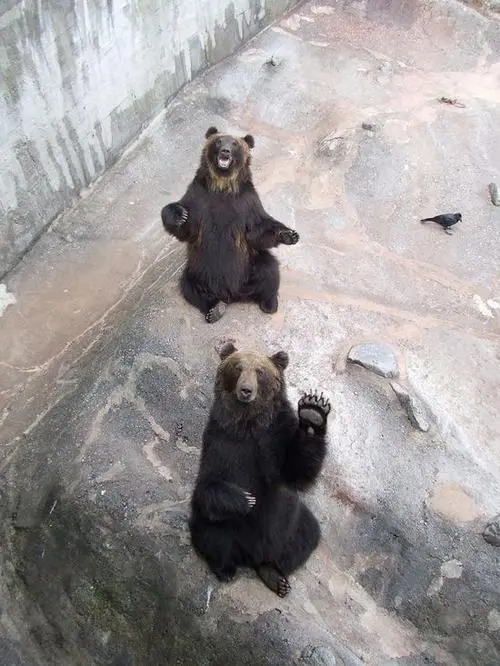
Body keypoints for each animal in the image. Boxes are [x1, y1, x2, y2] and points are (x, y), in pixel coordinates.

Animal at [160, 127, 299, 323]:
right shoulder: (199, 197)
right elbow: (188, 227)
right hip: (199, 270)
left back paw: (269, 303)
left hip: (248, 267)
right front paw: (179, 214)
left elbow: (257, 229)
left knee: (269, 269)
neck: (222, 186)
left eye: (235, 144)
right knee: (189, 286)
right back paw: (213, 309)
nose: (225, 151)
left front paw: (289, 234)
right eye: (218, 141)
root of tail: (231, 294)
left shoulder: (246, 203)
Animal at [189, 342, 332, 597]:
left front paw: (313, 413)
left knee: (307, 534)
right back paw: (224, 569)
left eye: (260, 371)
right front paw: (245, 499)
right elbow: (208, 482)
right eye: (238, 367)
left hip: (291, 530)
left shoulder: (276, 435)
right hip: (228, 531)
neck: (249, 423)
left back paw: (274, 575)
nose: (246, 390)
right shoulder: (221, 439)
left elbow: (296, 471)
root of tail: (251, 556)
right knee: (210, 531)